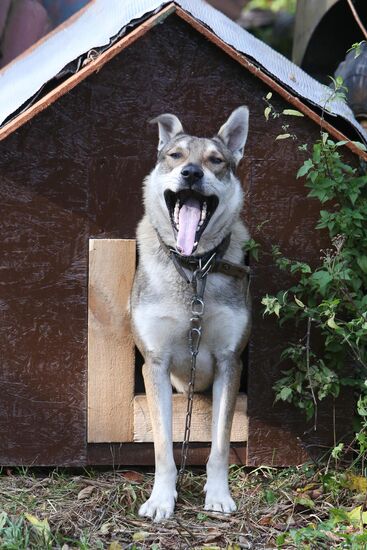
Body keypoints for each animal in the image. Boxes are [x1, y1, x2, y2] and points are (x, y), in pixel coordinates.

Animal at [131, 106, 252, 520]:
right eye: (175, 156)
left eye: (216, 161)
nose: (192, 174)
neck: (193, 267)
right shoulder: (155, 363)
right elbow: (164, 448)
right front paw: (161, 500)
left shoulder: (230, 360)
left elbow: (219, 445)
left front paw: (218, 495)